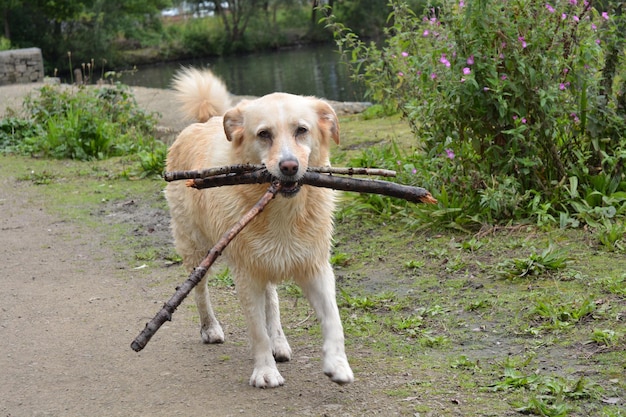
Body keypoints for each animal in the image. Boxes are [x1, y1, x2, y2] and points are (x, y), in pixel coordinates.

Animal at [163, 67, 354, 386]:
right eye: (264, 134)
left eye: (302, 130)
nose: (289, 166)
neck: (281, 209)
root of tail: (202, 122)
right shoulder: (247, 274)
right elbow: (256, 330)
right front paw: (265, 372)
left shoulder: (315, 266)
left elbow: (333, 318)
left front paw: (337, 364)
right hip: (196, 248)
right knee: (200, 291)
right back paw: (210, 328)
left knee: (272, 301)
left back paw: (279, 342)